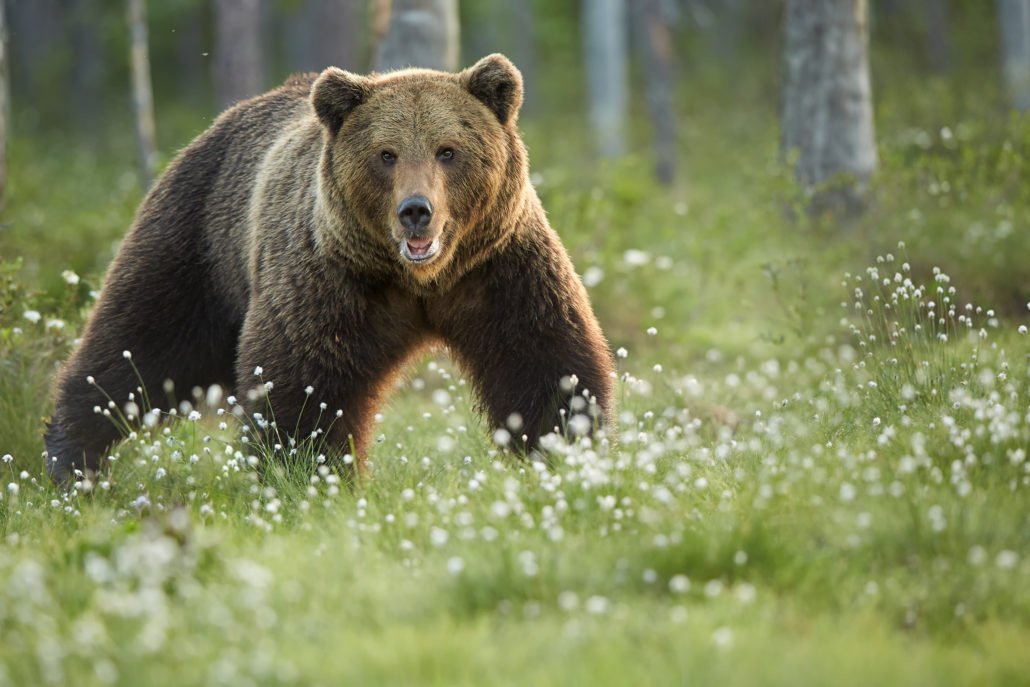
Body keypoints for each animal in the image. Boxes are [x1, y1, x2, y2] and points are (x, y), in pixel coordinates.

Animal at [44, 55, 609, 484]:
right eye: (386, 154)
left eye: (448, 150)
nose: (416, 210)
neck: (420, 281)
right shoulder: (330, 277)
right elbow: (304, 382)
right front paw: (305, 476)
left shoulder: (498, 266)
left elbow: (542, 359)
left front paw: (565, 451)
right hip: (199, 240)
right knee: (139, 345)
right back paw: (71, 460)